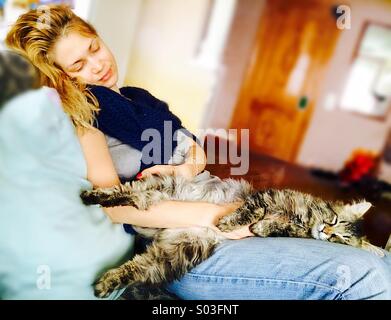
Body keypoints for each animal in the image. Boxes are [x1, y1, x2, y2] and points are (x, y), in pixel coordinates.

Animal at [80, 172, 386, 298]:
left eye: (341, 238)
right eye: (333, 221)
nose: (326, 231)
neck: (306, 219)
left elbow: (271, 227)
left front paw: (260, 228)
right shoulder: (267, 198)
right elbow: (252, 212)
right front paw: (229, 223)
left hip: (178, 253)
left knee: (137, 265)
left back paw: (106, 284)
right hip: (162, 186)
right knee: (126, 191)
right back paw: (92, 196)